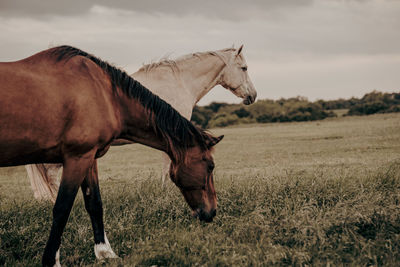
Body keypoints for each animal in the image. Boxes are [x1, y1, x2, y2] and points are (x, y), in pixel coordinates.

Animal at [0, 46, 222, 267]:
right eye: (210, 166)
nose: (212, 212)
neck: (106, 95)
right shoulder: (76, 158)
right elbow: (62, 208)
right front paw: (51, 260)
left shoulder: (89, 159)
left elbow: (94, 204)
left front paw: (105, 252)